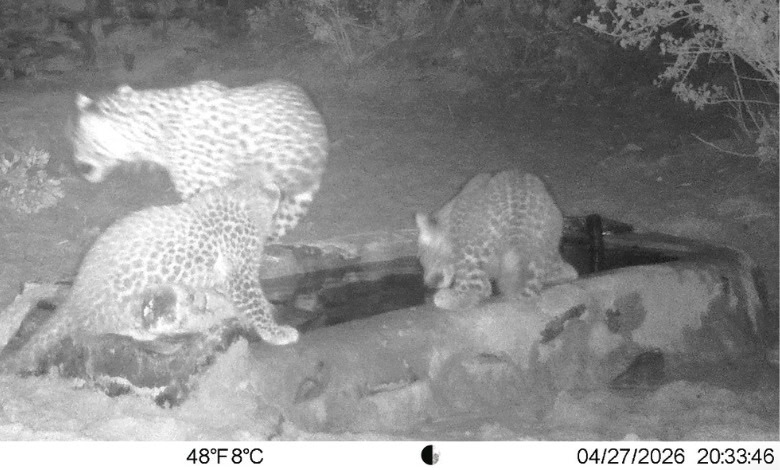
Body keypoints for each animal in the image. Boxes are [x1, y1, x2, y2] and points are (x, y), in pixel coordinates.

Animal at [0, 179, 298, 375]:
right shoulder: (240, 274)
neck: (241, 199)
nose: (282, 191)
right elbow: (255, 304)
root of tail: (75, 298)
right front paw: (277, 332)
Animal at [415, 169, 578, 311]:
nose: (427, 283)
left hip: (473, 247)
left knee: (476, 287)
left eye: (424, 258)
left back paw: (448, 299)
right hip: (547, 244)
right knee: (567, 271)